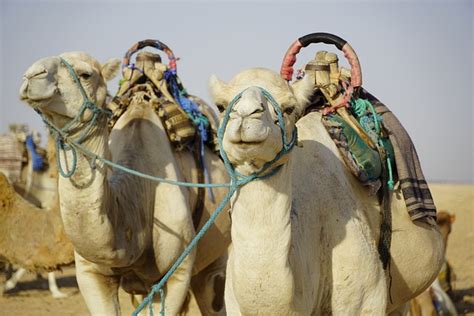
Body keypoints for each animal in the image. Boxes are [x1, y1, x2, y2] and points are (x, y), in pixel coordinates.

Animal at [19, 51, 231, 314]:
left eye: (85, 74)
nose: (31, 76)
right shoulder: (91, 274)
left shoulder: (176, 273)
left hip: (215, 259)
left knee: (212, 290)